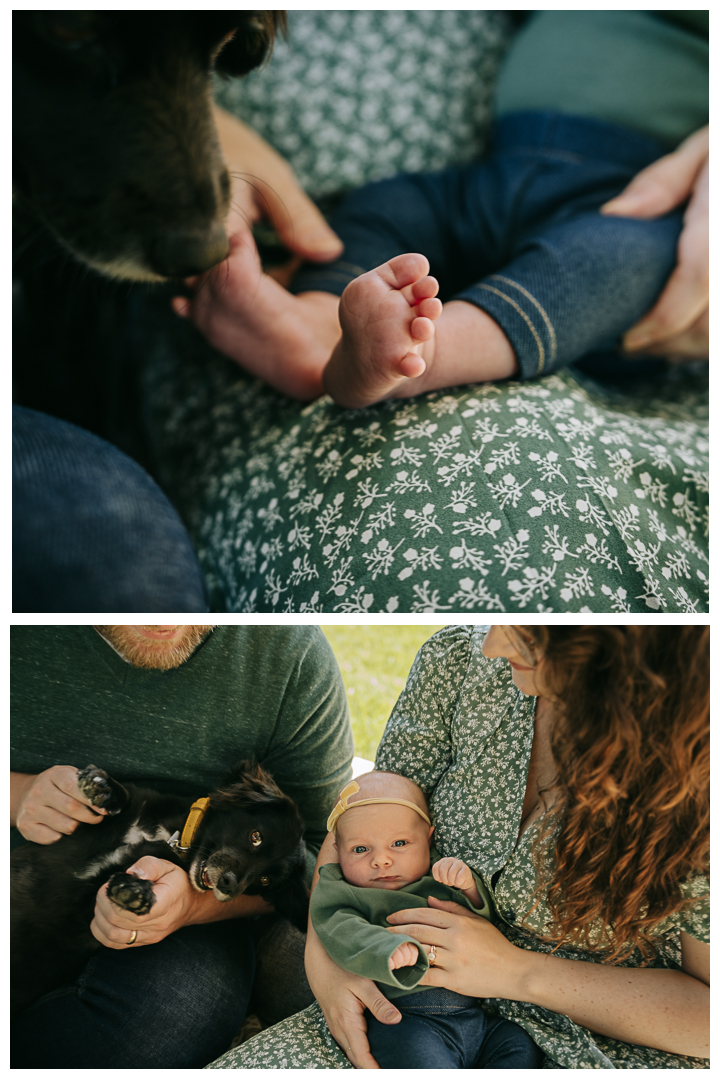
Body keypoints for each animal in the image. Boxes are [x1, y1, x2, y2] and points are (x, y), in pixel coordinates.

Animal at [11, 760, 308, 1010]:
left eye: (265, 880)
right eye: (256, 836)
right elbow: (127, 797)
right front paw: (102, 786)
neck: (171, 838)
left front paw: (135, 891)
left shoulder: (82, 917)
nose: (230, 886)